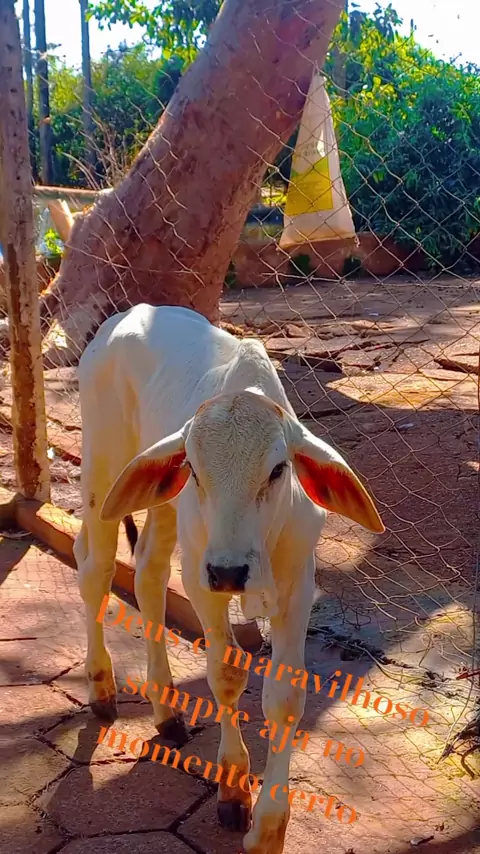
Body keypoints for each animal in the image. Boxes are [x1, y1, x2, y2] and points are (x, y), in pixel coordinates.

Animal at [74, 304, 384, 853]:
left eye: (278, 469)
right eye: (195, 470)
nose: (230, 570)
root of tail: (126, 315)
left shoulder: (298, 583)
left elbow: (285, 697)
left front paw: (269, 827)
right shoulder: (203, 579)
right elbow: (225, 672)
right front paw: (234, 789)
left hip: (164, 507)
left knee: (149, 572)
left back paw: (165, 711)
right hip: (102, 470)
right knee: (96, 571)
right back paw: (102, 688)